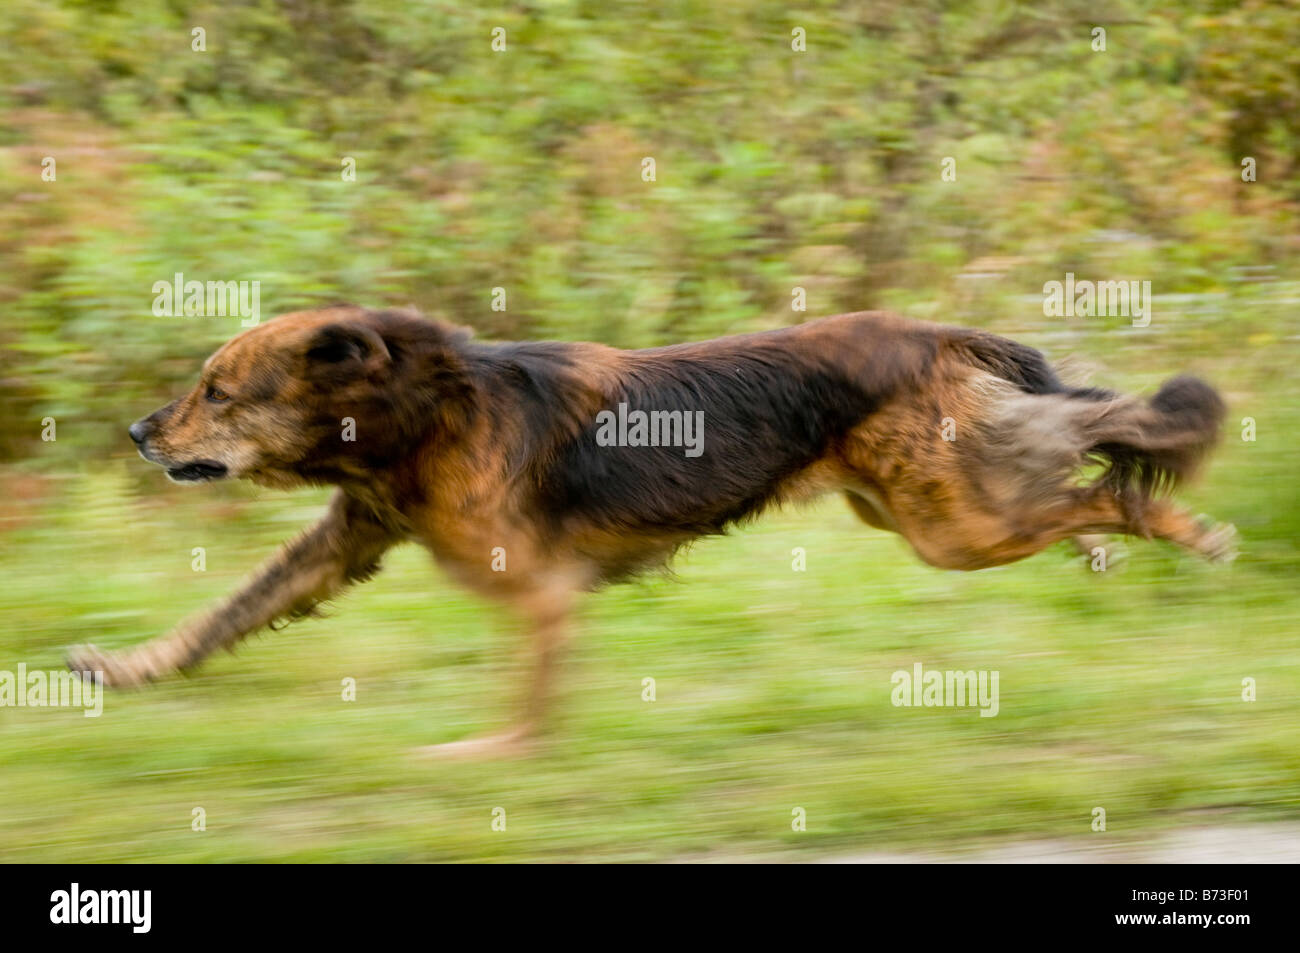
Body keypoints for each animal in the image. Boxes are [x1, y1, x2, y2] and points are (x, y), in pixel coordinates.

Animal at [65, 308, 1232, 754]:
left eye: (217, 391)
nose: (135, 432)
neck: (414, 412)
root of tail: (939, 329)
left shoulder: (532, 587)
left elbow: (526, 696)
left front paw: (497, 756)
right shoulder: (343, 542)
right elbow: (222, 615)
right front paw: (122, 666)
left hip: (947, 524)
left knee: (1104, 477)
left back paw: (1180, 530)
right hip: (921, 508)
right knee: (1066, 466)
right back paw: (1103, 545)